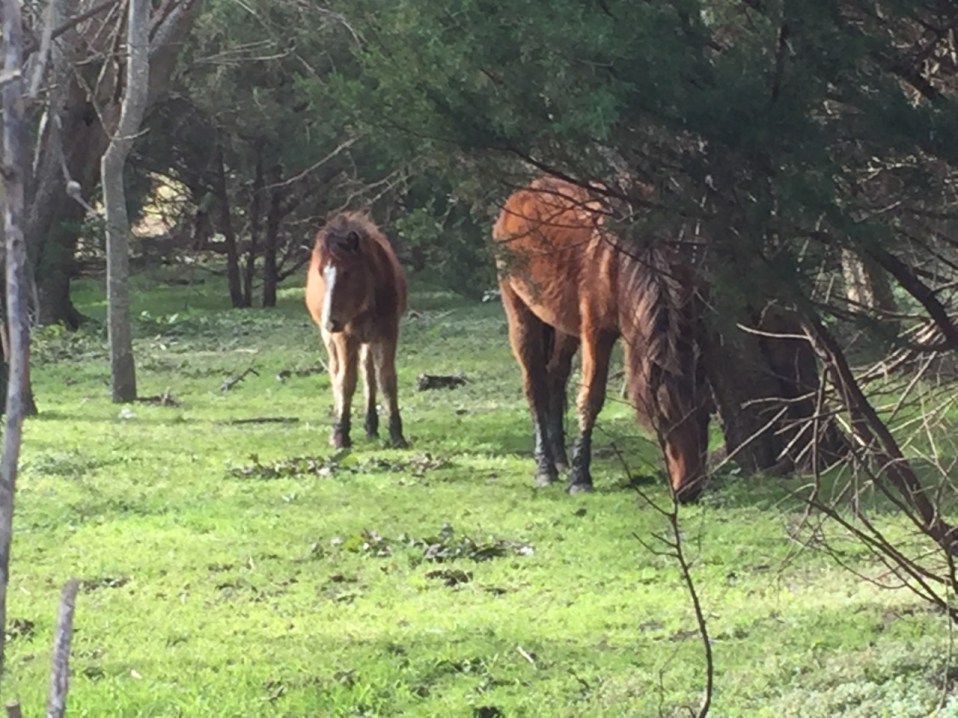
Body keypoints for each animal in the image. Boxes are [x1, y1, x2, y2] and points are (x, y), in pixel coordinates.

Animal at [305, 212, 408, 449]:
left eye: (347, 272)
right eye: (321, 273)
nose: (330, 321)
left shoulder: (388, 333)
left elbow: (386, 380)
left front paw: (396, 434)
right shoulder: (345, 337)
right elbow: (345, 382)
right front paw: (340, 434)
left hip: (367, 340)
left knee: (368, 374)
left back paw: (371, 424)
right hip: (332, 339)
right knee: (336, 373)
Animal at [492, 176, 710, 502]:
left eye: (706, 415)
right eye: (661, 419)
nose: (689, 491)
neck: (623, 258)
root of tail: (522, 193)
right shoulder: (597, 332)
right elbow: (591, 397)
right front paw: (580, 478)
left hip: (564, 326)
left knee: (555, 378)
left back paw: (560, 458)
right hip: (520, 314)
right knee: (535, 386)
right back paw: (546, 468)